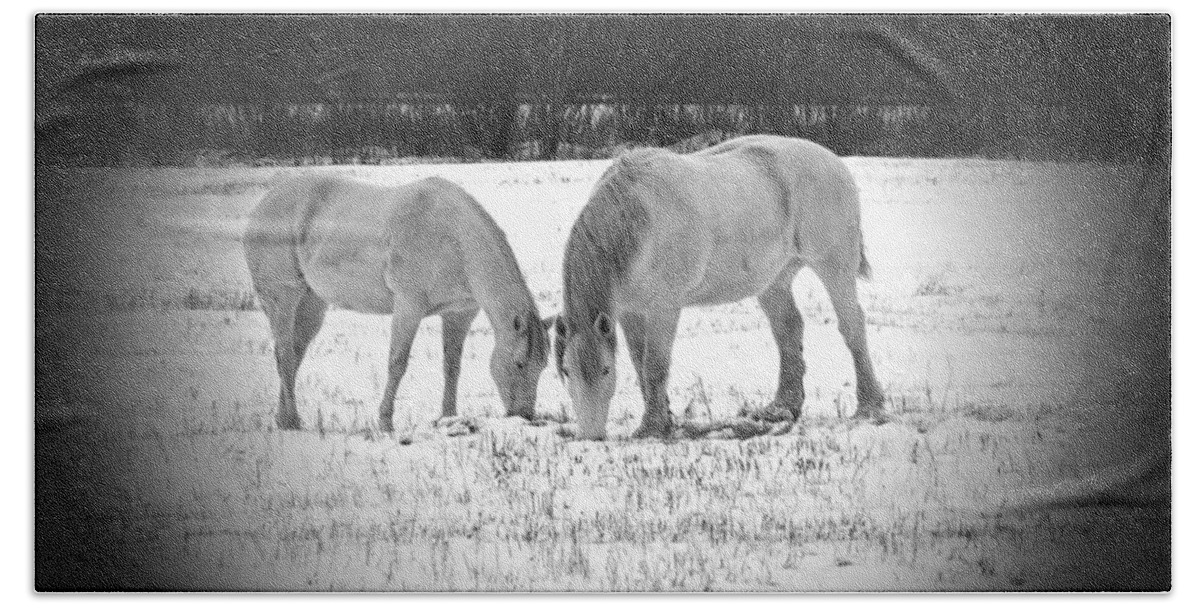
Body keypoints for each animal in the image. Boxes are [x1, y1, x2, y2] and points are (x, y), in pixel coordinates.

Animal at [244, 175, 552, 434]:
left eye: (543, 366)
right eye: (519, 363)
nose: (525, 416)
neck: (452, 239)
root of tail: (264, 203)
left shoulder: (459, 313)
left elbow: (452, 366)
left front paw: (449, 418)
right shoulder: (409, 305)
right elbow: (397, 363)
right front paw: (385, 422)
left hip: (311, 304)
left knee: (295, 354)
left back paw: (283, 418)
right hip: (283, 297)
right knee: (284, 355)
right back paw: (292, 421)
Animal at [556, 133, 888, 441]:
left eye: (605, 370)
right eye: (566, 371)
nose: (591, 436)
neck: (638, 220)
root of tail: (835, 162)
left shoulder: (664, 308)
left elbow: (655, 365)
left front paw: (652, 428)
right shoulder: (629, 313)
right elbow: (640, 365)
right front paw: (661, 420)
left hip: (834, 267)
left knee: (852, 325)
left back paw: (870, 406)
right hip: (774, 281)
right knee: (788, 329)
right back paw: (781, 408)